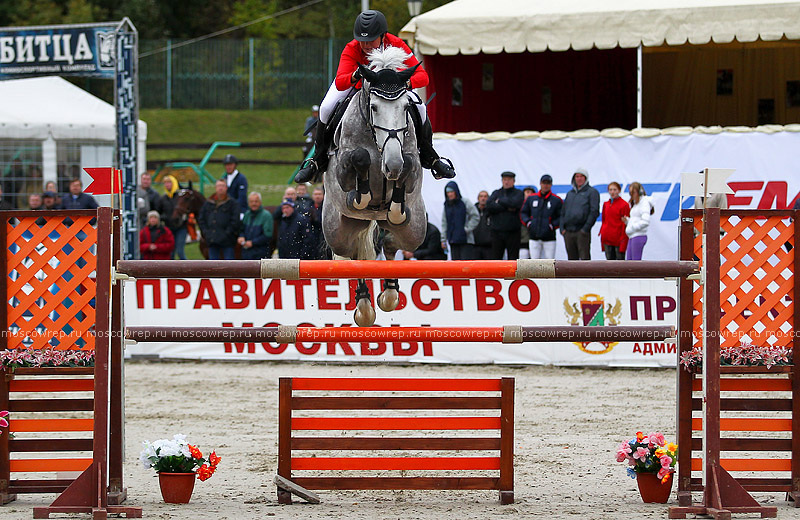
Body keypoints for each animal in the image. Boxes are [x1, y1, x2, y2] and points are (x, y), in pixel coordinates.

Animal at [322, 46, 428, 328]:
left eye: (406, 107)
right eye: (374, 107)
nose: (392, 164)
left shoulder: (412, 167)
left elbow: (408, 165)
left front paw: (394, 200)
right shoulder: (342, 172)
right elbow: (360, 159)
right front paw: (364, 194)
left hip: (415, 230)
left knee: (391, 245)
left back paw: (389, 294)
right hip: (338, 232)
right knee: (354, 256)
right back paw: (364, 308)